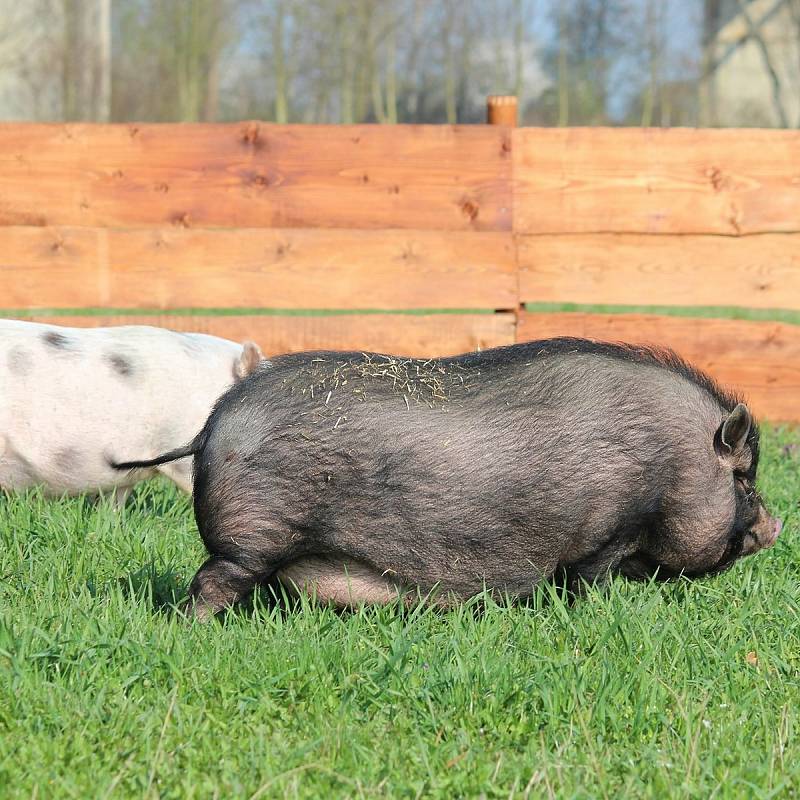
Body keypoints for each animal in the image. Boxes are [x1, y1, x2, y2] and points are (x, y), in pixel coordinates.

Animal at [112, 338, 780, 620]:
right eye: (744, 481)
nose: (775, 524)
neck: (672, 465)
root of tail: (211, 424)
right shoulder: (603, 538)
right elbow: (584, 586)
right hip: (251, 538)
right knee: (210, 585)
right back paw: (197, 632)